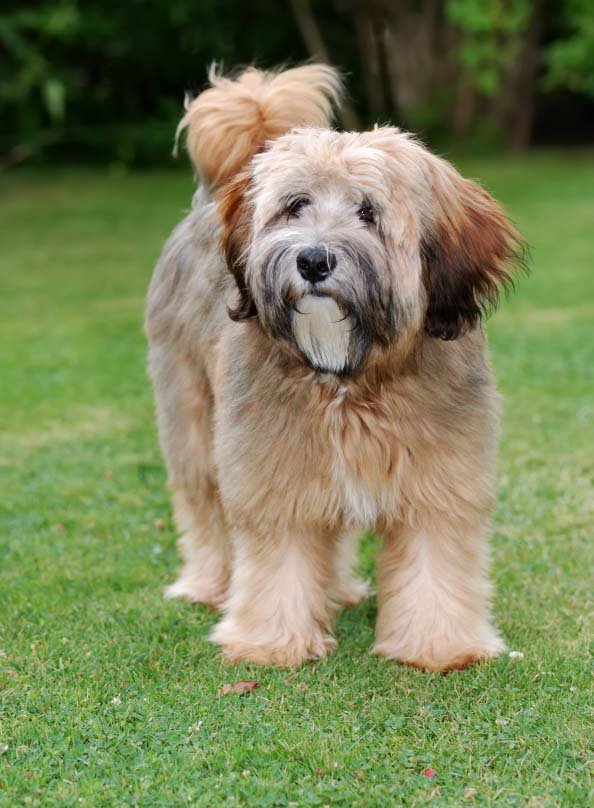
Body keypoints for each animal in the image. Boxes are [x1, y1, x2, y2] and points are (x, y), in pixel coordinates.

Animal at [145, 63, 524, 668]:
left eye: (368, 212)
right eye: (295, 205)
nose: (313, 260)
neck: (353, 379)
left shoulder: (438, 476)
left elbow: (433, 560)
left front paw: (438, 645)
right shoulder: (272, 466)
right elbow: (279, 555)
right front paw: (270, 643)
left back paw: (338, 589)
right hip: (190, 414)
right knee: (203, 504)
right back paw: (208, 585)